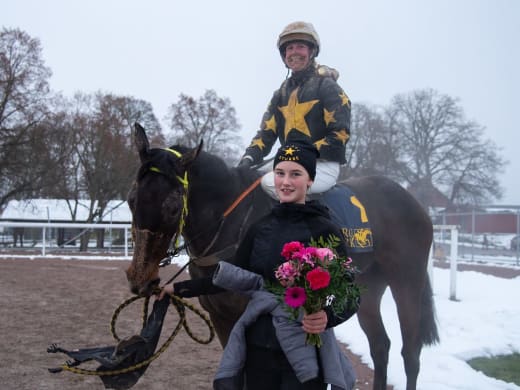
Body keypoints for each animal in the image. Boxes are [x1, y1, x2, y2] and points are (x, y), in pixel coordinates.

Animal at [127, 122, 438, 390]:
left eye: (172, 206)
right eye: (131, 199)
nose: (140, 278)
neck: (232, 221)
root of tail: (413, 201)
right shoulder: (221, 317)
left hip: (407, 281)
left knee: (410, 353)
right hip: (368, 287)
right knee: (380, 345)